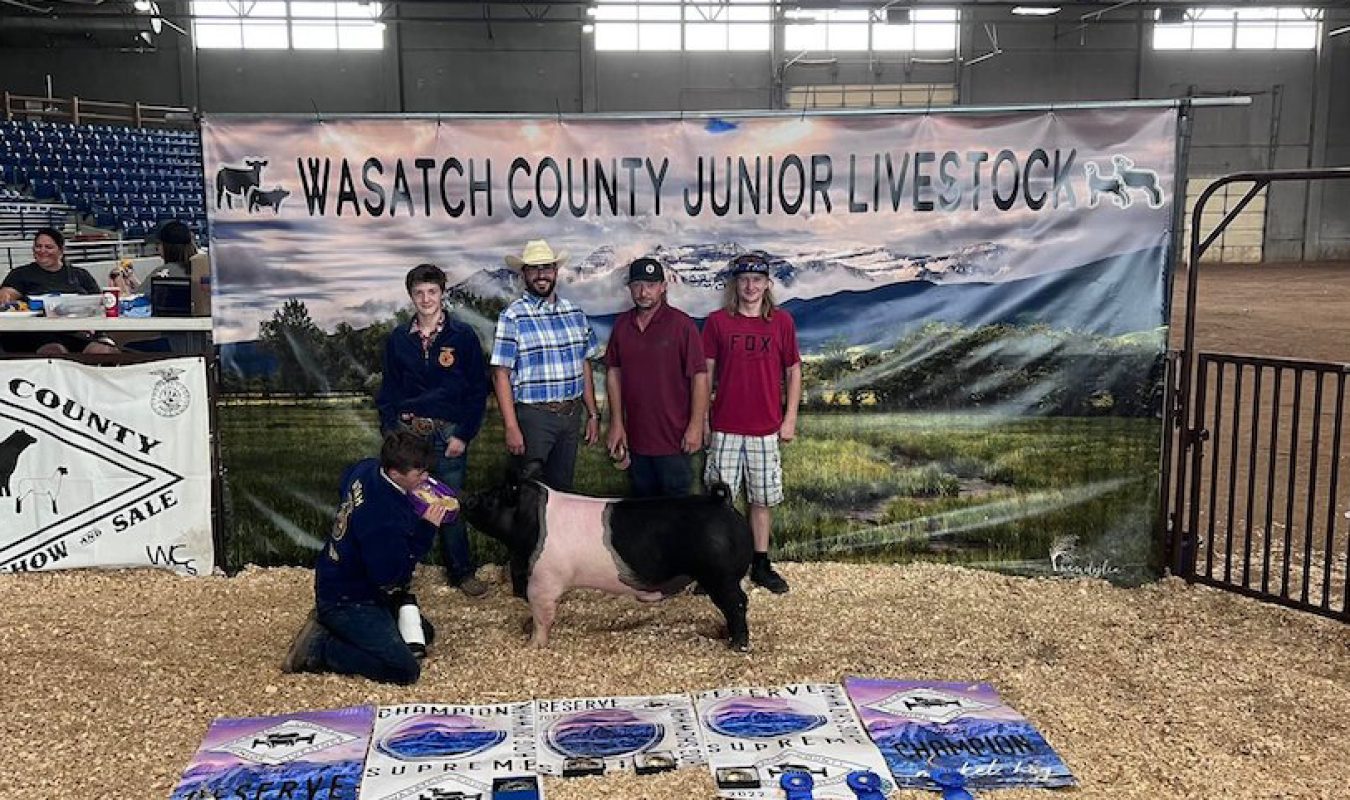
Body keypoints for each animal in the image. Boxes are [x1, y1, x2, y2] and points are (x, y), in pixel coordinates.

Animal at [464, 466, 756, 647]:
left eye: (492, 497)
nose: (466, 499)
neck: (533, 523)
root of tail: (723, 502)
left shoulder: (544, 581)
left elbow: (542, 615)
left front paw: (532, 645)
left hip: (720, 576)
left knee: (738, 603)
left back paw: (737, 645)